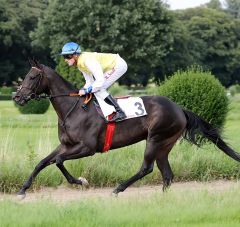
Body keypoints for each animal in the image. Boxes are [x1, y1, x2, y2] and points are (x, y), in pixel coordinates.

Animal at [14, 59, 239, 197]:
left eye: (32, 77)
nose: (17, 96)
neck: (74, 109)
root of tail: (179, 108)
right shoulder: (66, 145)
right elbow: (43, 162)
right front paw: (23, 189)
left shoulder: (87, 148)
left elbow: (59, 161)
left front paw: (81, 181)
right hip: (164, 144)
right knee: (167, 174)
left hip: (155, 139)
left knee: (147, 168)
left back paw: (118, 189)